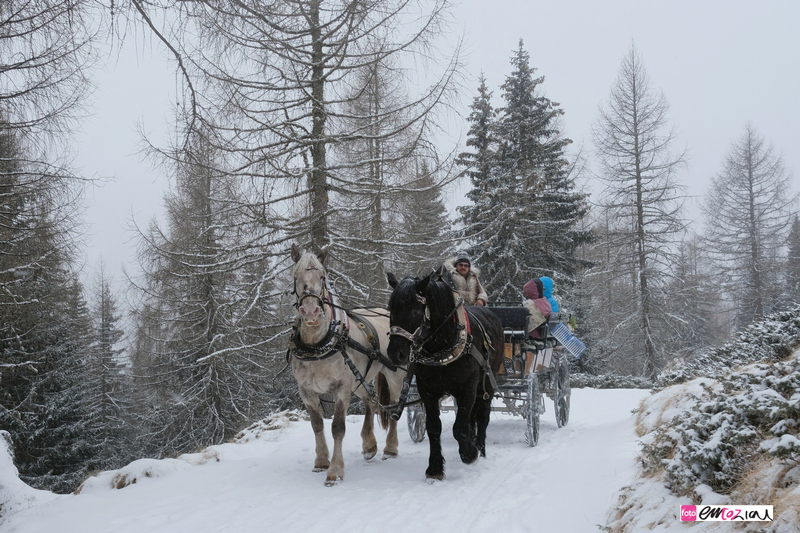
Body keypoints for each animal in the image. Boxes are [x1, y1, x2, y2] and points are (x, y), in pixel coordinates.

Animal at [288, 243, 406, 484]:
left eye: (323, 276)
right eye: (296, 276)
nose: (311, 310)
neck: (319, 345)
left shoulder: (342, 387)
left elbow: (337, 428)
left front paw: (335, 471)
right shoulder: (306, 390)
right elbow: (317, 425)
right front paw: (321, 461)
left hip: (394, 375)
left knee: (394, 407)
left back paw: (390, 448)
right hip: (359, 380)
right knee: (370, 402)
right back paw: (369, 445)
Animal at [386, 268, 504, 480]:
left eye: (415, 310)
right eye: (391, 309)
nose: (395, 353)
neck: (442, 345)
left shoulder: (467, 388)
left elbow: (460, 428)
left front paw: (469, 453)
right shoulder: (427, 391)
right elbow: (434, 427)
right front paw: (434, 468)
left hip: (487, 384)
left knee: (482, 417)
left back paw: (480, 449)